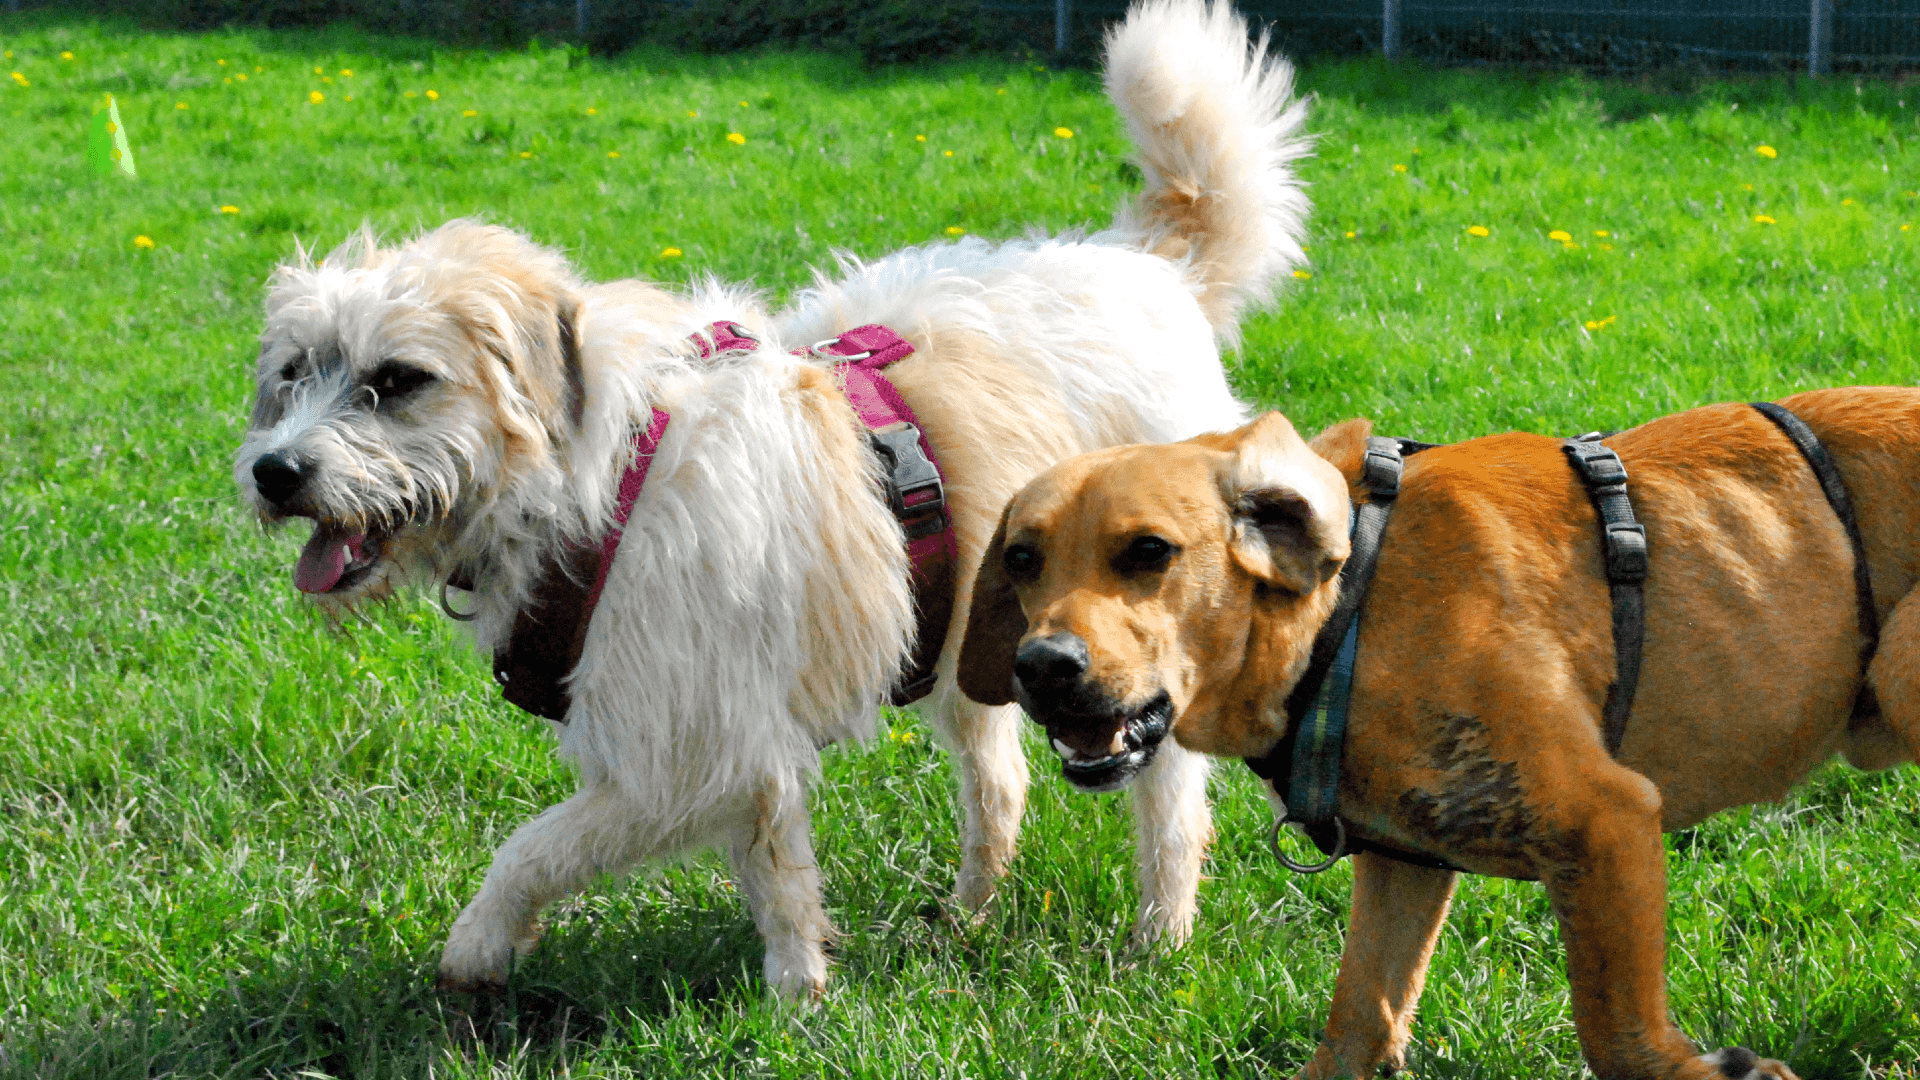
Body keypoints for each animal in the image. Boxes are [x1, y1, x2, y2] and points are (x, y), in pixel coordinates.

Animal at [232, 0, 1313, 991]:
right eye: (291, 374)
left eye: (399, 379)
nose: (273, 472)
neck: (602, 475)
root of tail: (1149, 266)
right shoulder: (739, 748)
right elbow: (778, 876)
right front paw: (801, 1002)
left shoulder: (683, 754)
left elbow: (530, 849)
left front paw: (477, 948)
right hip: (968, 638)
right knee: (1000, 787)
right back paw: (967, 917)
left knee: (1170, 800)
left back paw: (1159, 939)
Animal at [960, 386, 1920, 1076]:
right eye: (1021, 560)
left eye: (1149, 553)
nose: (1042, 666)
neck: (1351, 601)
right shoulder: (1403, 869)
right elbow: (1359, 1021)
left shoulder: (1605, 824)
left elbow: (1617, 1031)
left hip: (1901, 672)